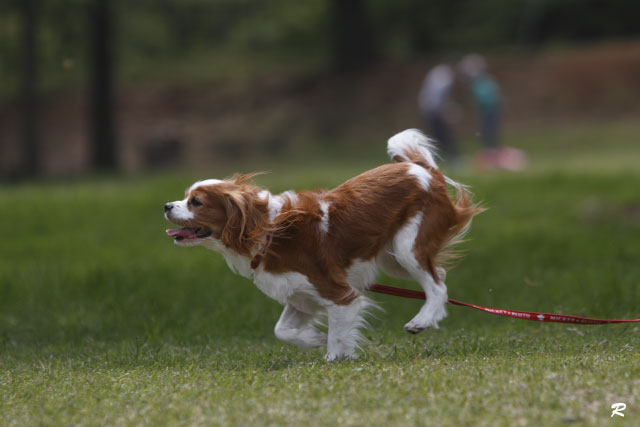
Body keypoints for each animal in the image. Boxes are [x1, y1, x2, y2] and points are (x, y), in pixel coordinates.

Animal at [165, 130, 480, 362]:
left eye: (196, 202)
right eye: (185, 196)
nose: (167, 205)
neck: (268, 234)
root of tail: (421, 168)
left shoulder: (338, 293)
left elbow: (338, 336)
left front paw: (334, 357)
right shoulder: (301, 295)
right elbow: (283, 330)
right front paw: (315, 339)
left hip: (406, 247)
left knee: (436, 284)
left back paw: (421, 321)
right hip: (392, 258)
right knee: (440, 276)